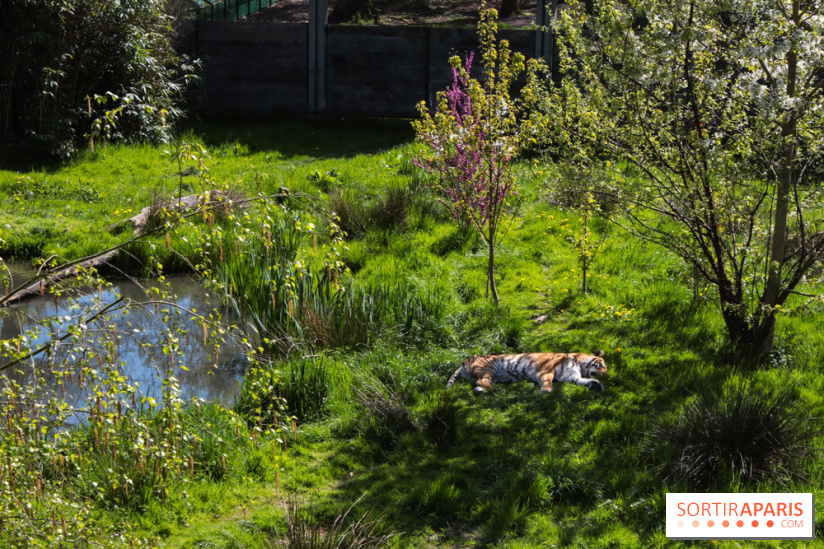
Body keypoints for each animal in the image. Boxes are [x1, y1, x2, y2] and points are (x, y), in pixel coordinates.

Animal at [446, 350, 608, 395]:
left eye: (605, 367)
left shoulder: (571, 376)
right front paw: (546, 390)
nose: (605, 373)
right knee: (482, 381)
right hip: (489, 368)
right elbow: (547, 381)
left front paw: (596, 385)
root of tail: (464, 362)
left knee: (477, 385)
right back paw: (494, 389)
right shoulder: (546, 370)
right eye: (601, 365)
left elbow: (583, 381)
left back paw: (482, 391)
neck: (580, 365)